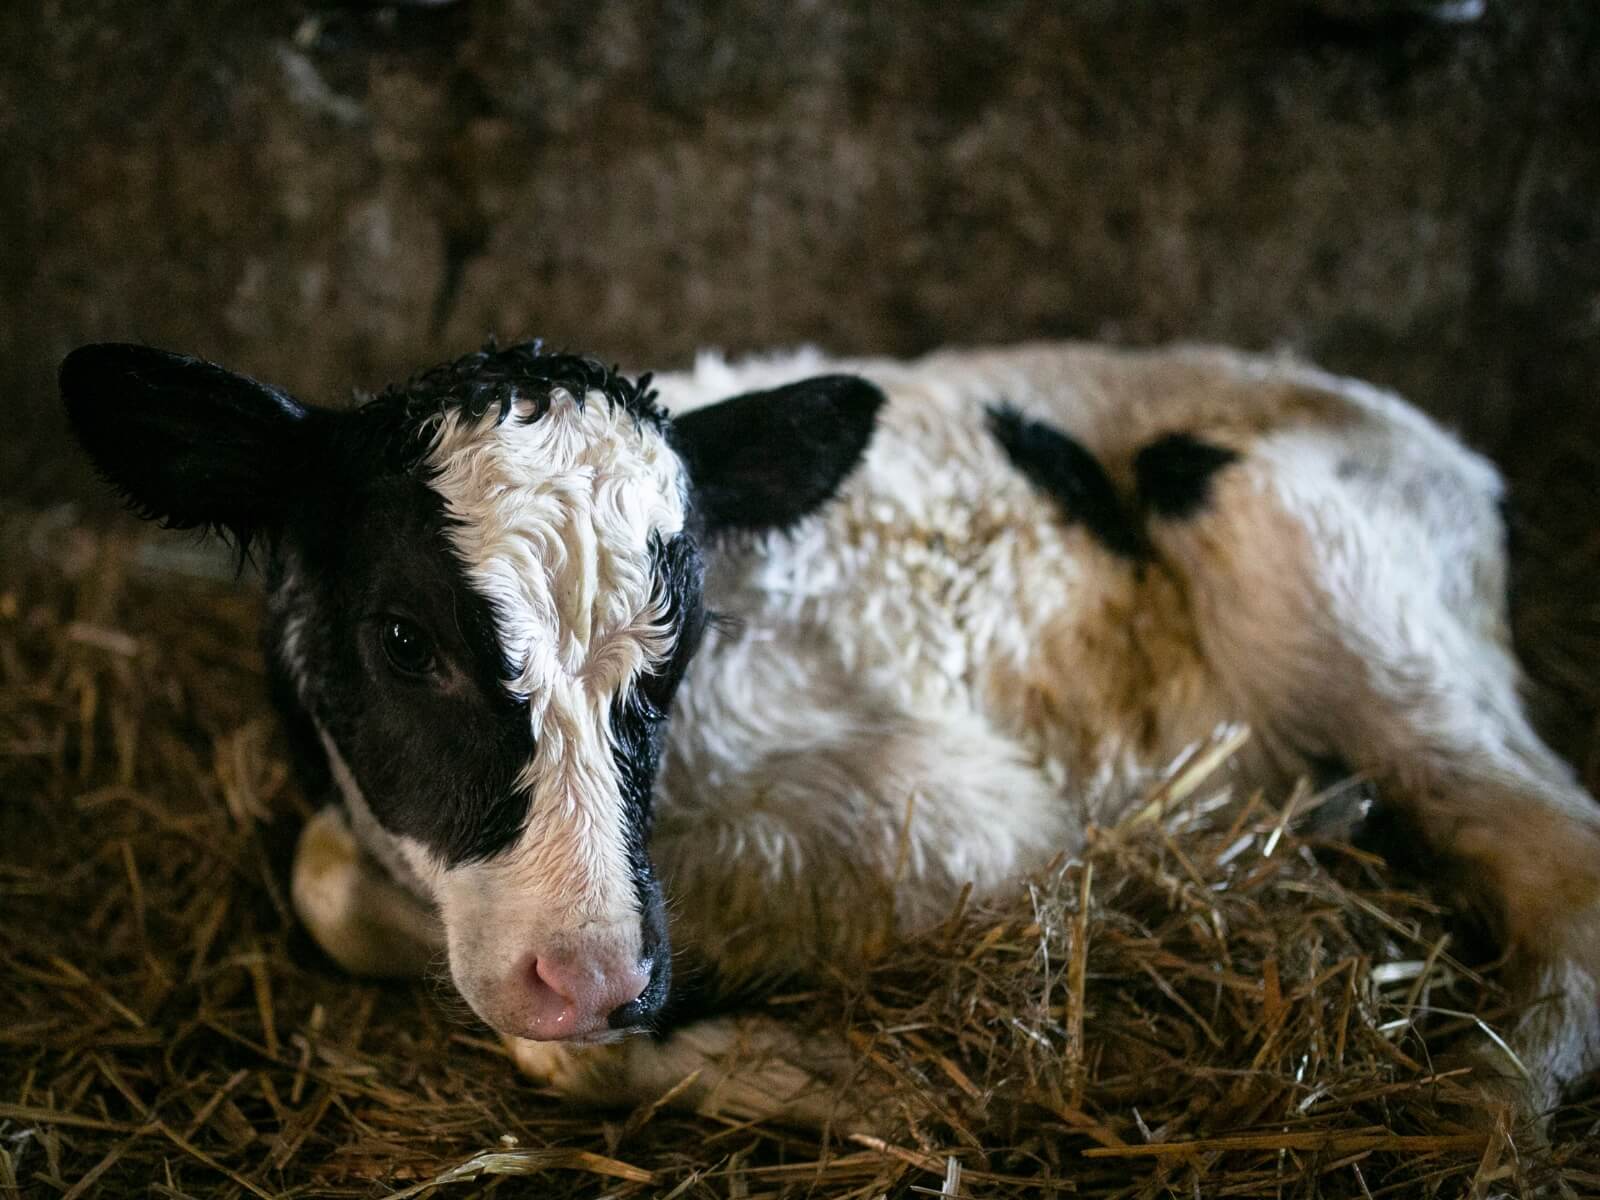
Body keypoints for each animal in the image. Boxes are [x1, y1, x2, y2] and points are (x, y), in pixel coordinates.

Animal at [62, 340, 1600, 1126]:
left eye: (680, 645)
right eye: (402, 639)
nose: (588, 971)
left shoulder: (982, 816)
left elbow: (578, 1043)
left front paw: (820, 1070)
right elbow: (326, 878)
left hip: (1343, 593)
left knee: (1560, 856)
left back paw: (1484, 1106)